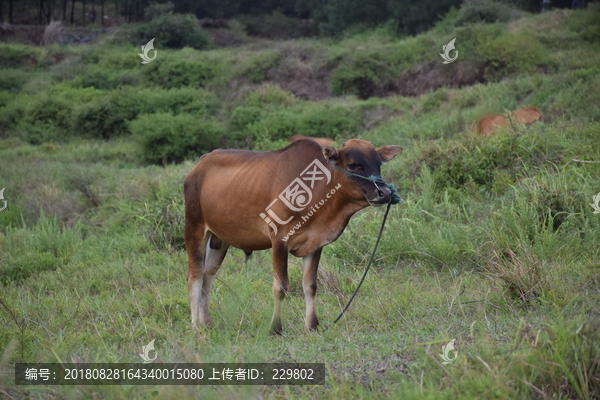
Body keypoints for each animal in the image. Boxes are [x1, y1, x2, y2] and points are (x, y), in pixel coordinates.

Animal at [180, 139, 400, 332]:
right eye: (353, 164)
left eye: (379, 164)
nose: (385, 193)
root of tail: (201, 162)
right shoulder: (279, 240)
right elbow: (281, 287)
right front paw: (275, 329)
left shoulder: (315, 243)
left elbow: (310, 285)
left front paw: (312, 326)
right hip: (194, 228)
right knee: (195, 276)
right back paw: (196, 327)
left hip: (219, 240)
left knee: (208, 277)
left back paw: (207, 323)